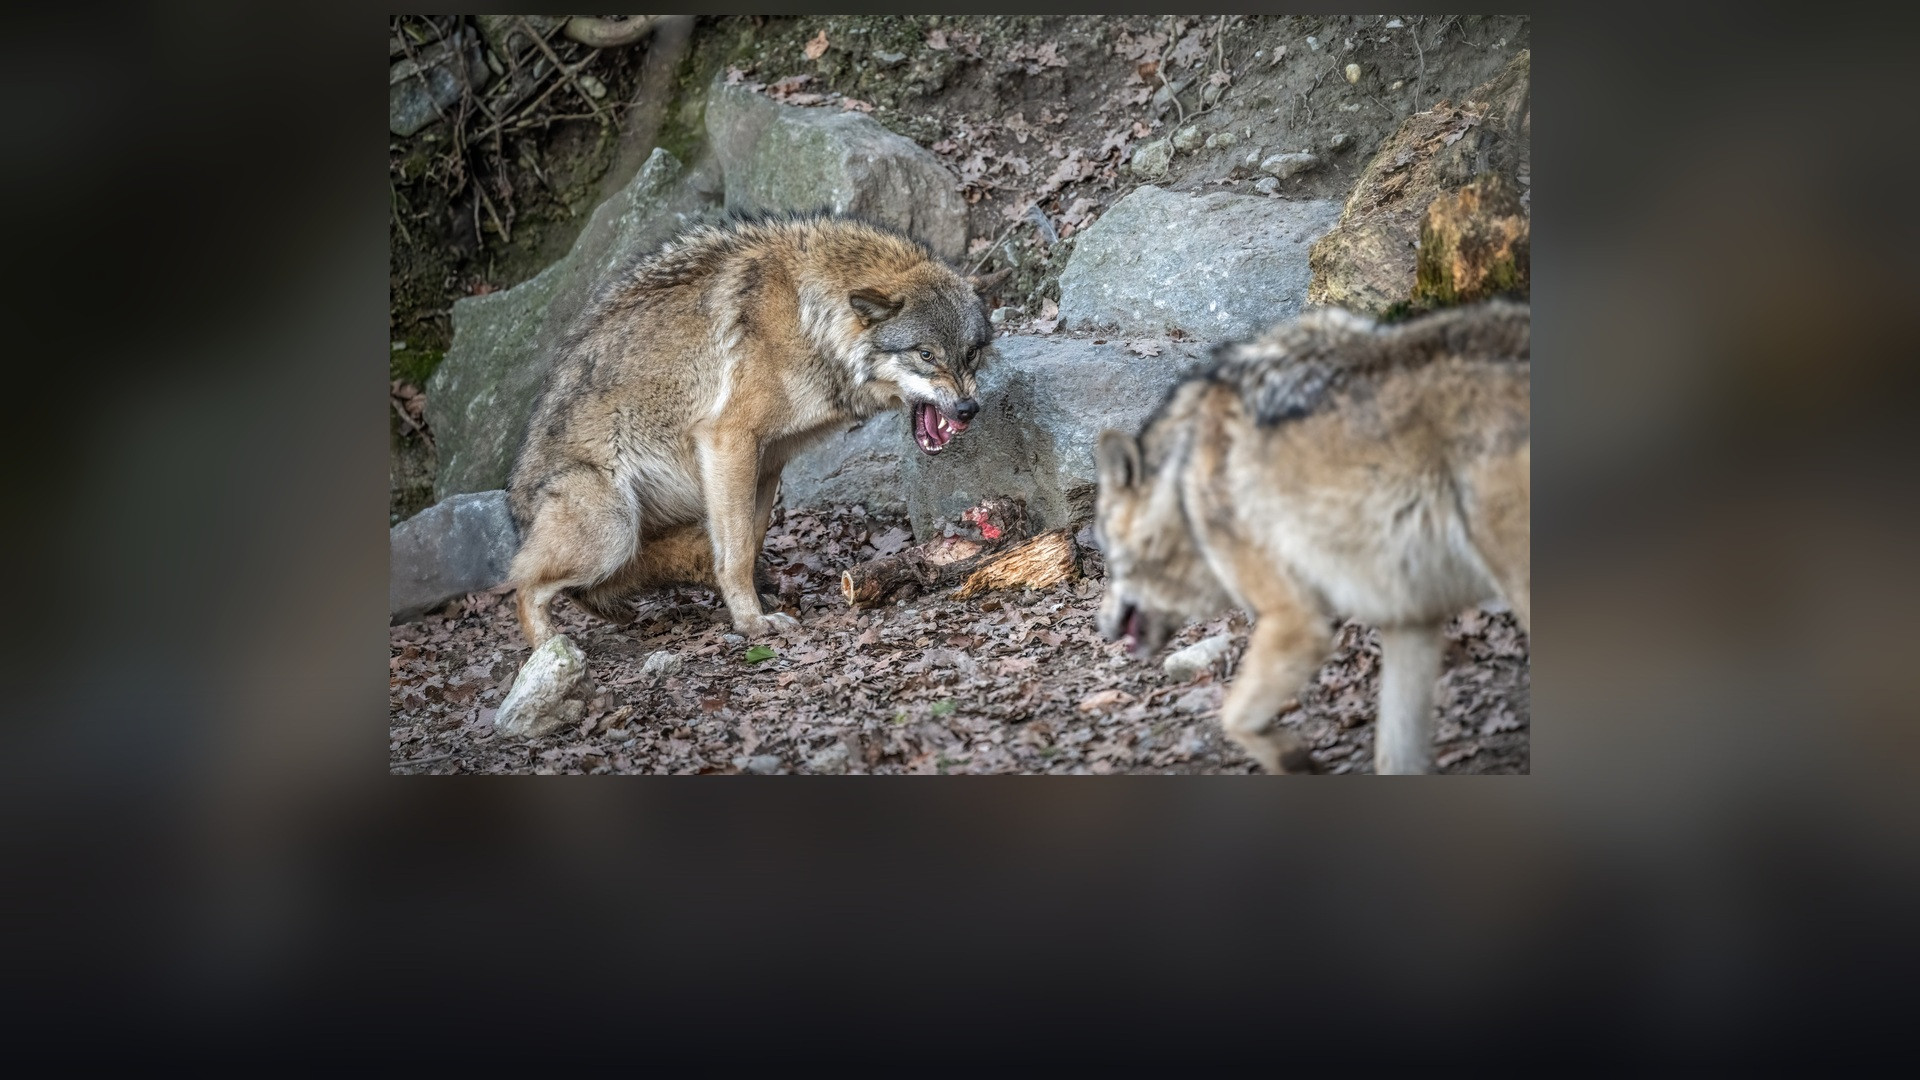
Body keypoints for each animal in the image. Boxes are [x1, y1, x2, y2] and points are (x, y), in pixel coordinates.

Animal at [506, 213, 991, 647]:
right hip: (614, 528)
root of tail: (518, 507)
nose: (968, 409)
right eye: (926, 354)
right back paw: (550, 651)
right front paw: (752, 623)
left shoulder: (768, 461)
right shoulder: (729, 440)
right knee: (520, 581)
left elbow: (749, 541)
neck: (809, 320)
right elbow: (737, 553)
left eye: (971, 353)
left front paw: (752, 605)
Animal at [1093, 300, 1530, 774]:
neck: (1181, 480)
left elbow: (1232, 717)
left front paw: (1295, 760)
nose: (1100, 625)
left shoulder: (1296, 621)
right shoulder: (1409, 617)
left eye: (1105, 552)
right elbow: (1394, 754)